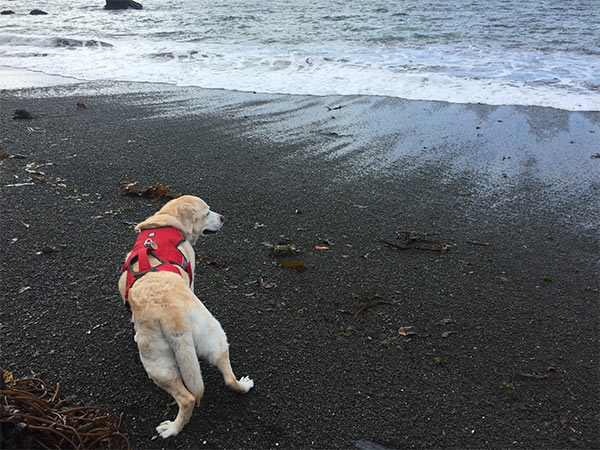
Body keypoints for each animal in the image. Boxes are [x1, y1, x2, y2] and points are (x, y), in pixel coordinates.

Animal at [118, 195, 254, 438]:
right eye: (207, 212)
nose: (223, 217)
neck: (166, 219)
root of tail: (173, 315)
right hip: (214, 335)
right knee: (216, 383)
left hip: (157, 364)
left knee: (189, 394)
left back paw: (172, 428)